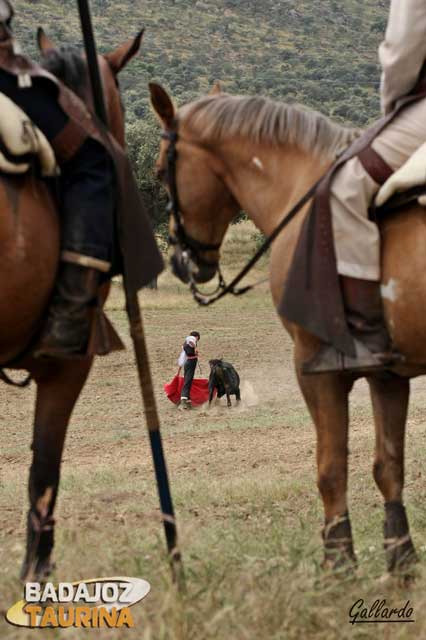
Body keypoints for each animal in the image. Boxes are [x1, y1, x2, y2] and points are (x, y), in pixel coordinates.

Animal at [150, 82, 422, 576]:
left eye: (162, 170)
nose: (182, 261)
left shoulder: (315, 368)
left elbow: (331, 469)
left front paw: (339, 565)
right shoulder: (387, 372)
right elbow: (388, 466)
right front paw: (400, 563)